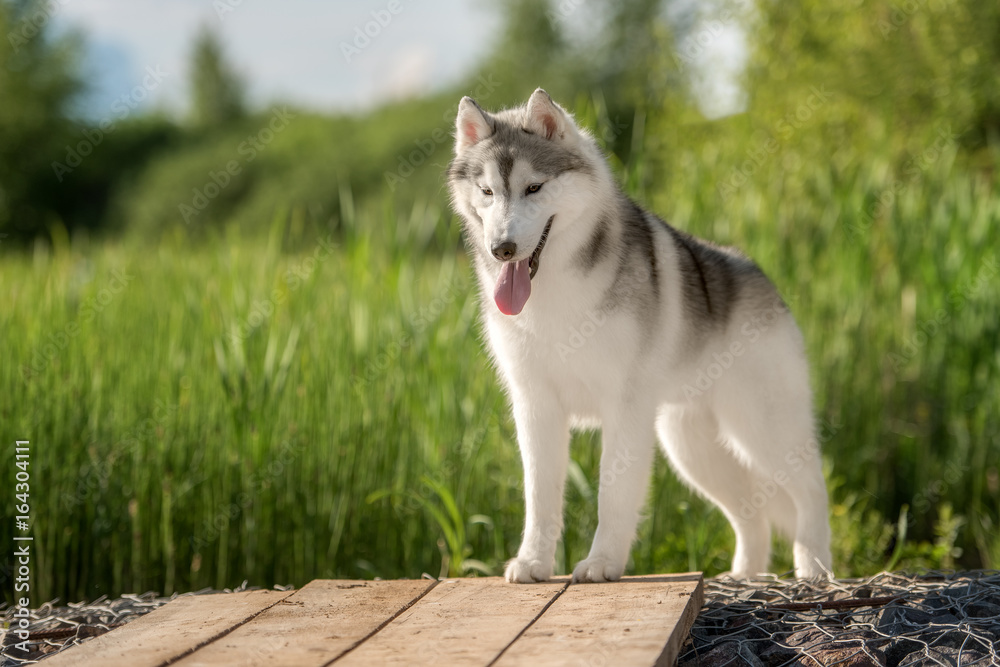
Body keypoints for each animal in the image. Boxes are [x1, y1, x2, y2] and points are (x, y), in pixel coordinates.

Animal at [450, 90, 832, 584]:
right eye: (488, 192)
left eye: (534, 188)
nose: (503, 249)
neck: (553, 294)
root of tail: (761, 277)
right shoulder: (535, 406)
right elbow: (540, 498)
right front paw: (534, 563)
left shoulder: (624, 408)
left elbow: (612, 496)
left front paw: (601, 564)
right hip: (693, 451)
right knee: (752, 514)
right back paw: (743, 576)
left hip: (763, 430)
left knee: (811, 490)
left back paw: (814, 567)